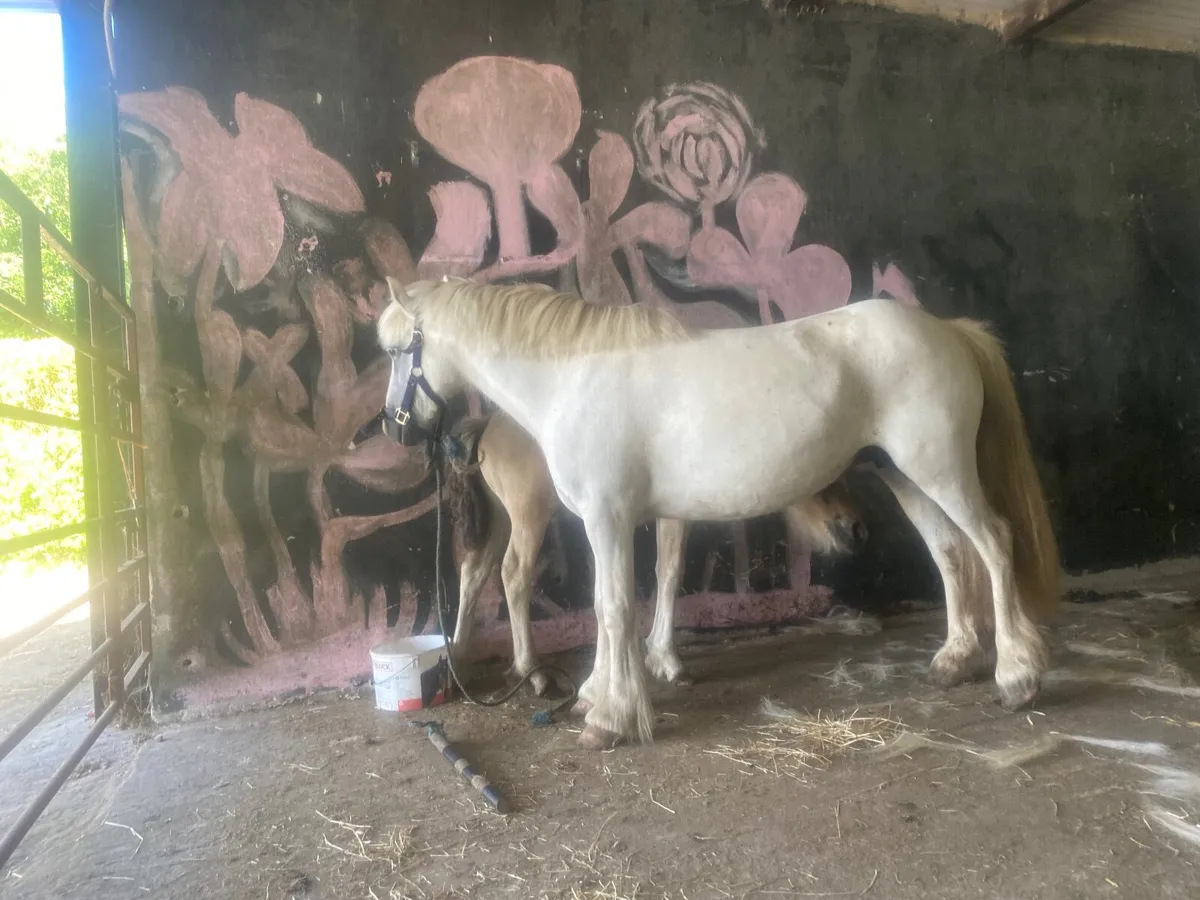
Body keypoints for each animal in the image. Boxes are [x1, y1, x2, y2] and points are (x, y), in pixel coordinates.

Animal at [441, 411, 868, 696]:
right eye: (826, 475)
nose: (854, 528)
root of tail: (488, 426)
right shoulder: (675, 514)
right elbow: (672, 572)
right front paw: (667, 660)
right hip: (529, 513)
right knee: (514, 574)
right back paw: (532, 673)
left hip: (502, 518)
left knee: (474, 571)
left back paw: (459, 660)